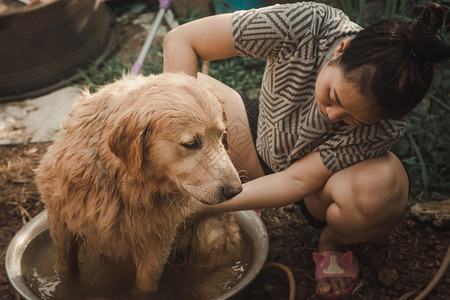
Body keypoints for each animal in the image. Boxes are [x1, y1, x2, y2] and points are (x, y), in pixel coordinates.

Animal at [36, 72, 243, 296]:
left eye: (221, 135)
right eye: (191, 144)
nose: (236, 190)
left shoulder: (156, 243)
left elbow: (145, 284)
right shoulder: (60, 222)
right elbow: (66, 270)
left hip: (212, 232)